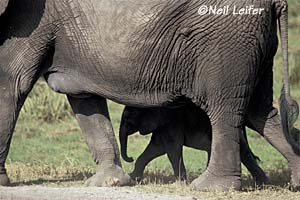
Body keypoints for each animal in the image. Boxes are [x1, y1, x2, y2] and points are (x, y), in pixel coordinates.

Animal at [119, 105, 268, 185]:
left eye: (129, 117)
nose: (130, 157)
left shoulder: (172, 124)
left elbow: (172, 150)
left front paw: (181, 183)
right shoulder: (163, 126)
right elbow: (156, 148)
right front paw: (133, 177)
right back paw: (262, 183)